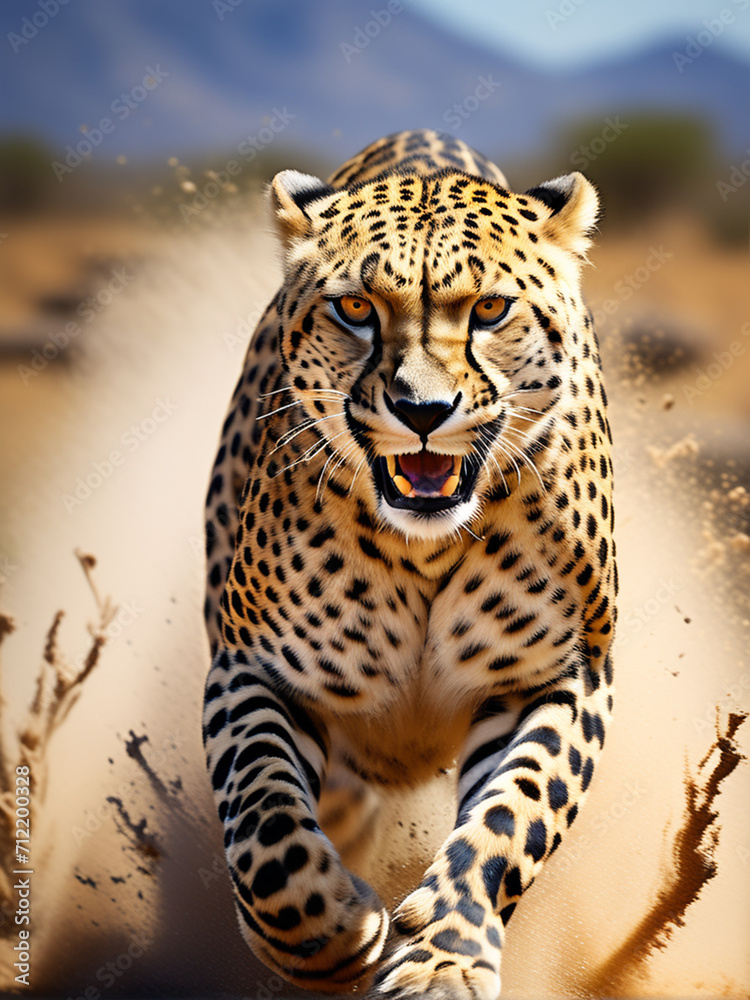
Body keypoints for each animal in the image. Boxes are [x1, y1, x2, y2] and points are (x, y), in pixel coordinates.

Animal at [202, 129, 616, 999]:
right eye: (357, 309)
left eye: (489, 309)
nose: (422, 411)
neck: (422, 548)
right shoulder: (254, 666)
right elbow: (262, 816)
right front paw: (326, 932)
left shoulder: (559, 674)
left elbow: (512, 815)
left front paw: (443, 961)